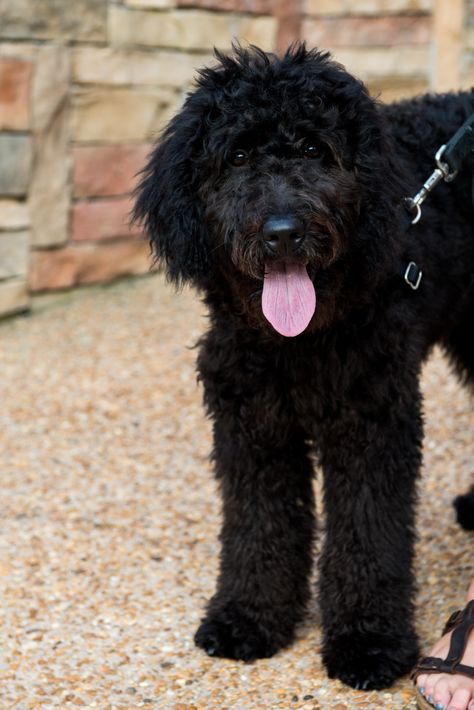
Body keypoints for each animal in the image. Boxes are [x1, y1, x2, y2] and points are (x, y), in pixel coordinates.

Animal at [133, 44, 474, 688]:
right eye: (238, 156)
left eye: (316, 150)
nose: (283, 233)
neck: (298, 344)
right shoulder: (253, 428)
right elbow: (258, 527)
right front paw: (248, 619)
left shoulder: (372, 424)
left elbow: (368, 534)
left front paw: (368, 641)